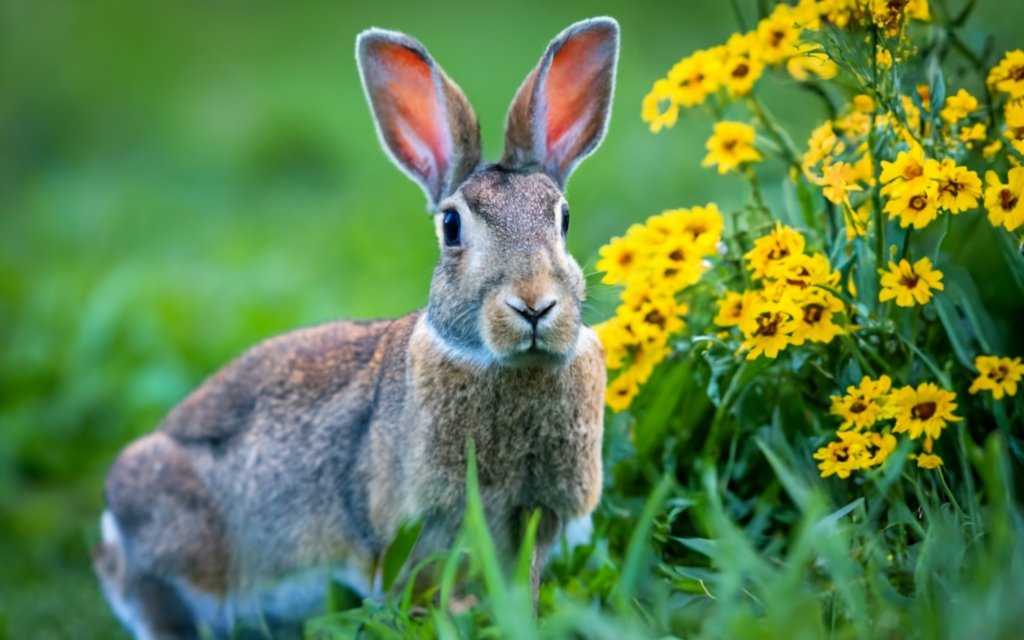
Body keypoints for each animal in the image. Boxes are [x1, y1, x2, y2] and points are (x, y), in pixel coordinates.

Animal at [94, 16, 614, 638]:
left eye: (563, 218)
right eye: (451, 225)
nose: (534, 305)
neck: (502, 362)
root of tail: (111, 527)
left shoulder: (533, 517)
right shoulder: (411, 530)